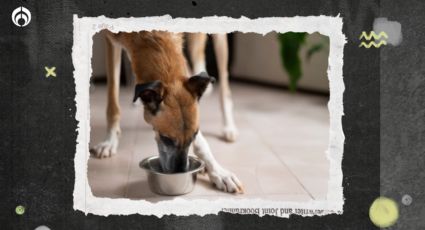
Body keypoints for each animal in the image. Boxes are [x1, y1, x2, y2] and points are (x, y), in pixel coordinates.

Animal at [89, 30, 240, 192]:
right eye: (166, 138)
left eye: (193, 136)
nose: (181, 172)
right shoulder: (111, 42)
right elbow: (113, 103)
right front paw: (109, 141)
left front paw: (217, 171)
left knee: (224, 87)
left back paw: (229, 127)